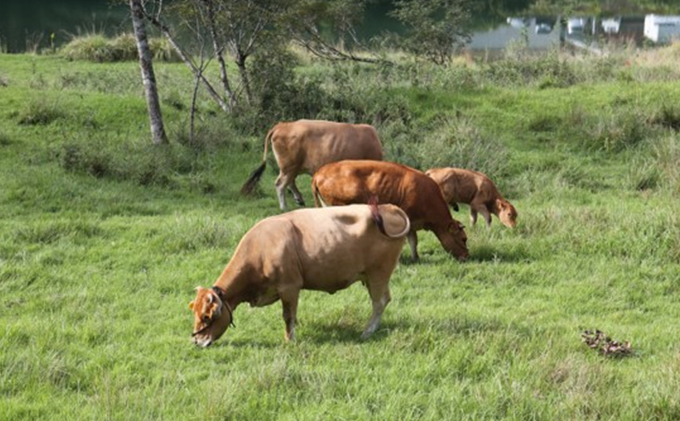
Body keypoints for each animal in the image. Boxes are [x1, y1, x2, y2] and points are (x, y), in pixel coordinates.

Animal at [187, 202, 410, 346]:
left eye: (207, 317)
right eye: (195, 314)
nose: (197, 341)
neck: (261, 248)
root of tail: (388, 207)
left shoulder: (289, 286)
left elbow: (287, 316)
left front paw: (290, 339)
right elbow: (293, 312)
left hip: (378, 273)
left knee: (380, 301)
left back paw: (367, 331)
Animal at [240, 119, 382, 210]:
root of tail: (283, 125)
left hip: (293, 167)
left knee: (290, 182)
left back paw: (299, 199)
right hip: (289, 166)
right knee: (280, 184)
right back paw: (284, 206)